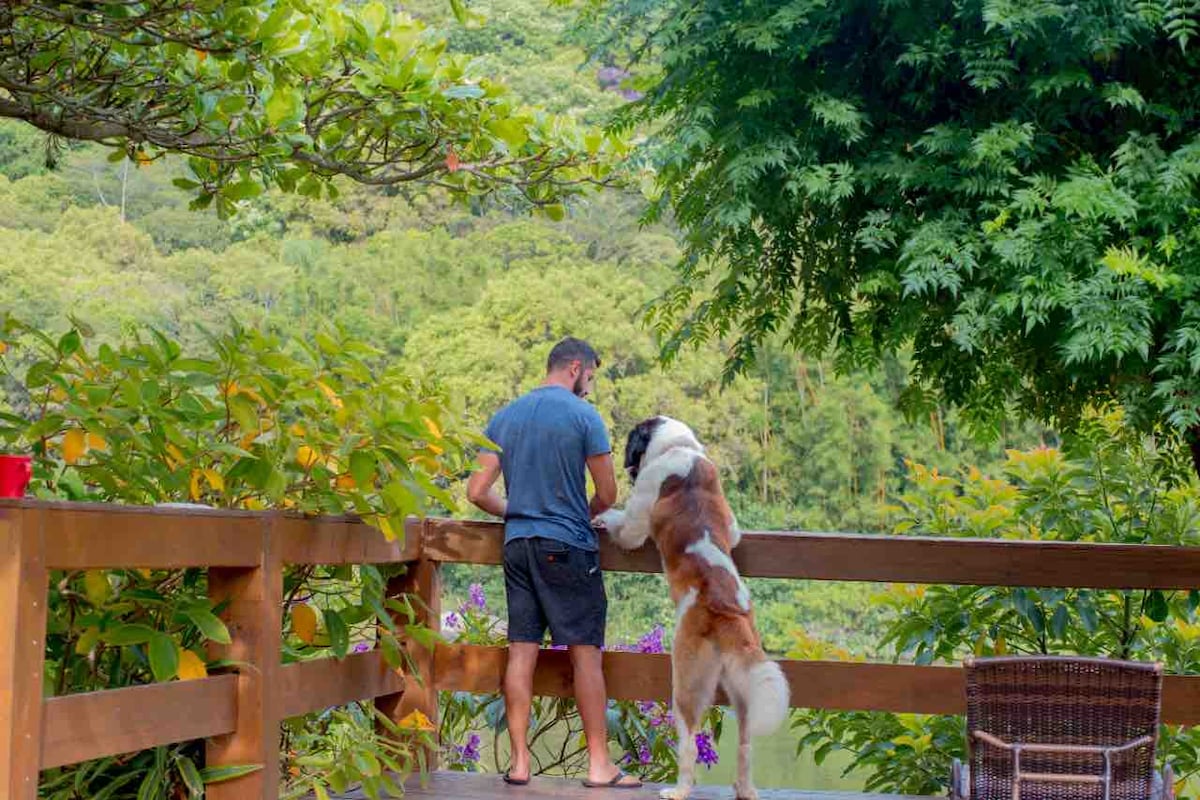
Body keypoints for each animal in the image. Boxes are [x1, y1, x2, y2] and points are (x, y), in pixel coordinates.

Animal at [597, 417, 787, 796]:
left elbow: (626, 528)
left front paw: (602, 515)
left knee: (687, 744)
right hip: (743, 692)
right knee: (745, 746)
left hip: (686, 680)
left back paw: (678, 790)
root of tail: (727, 611)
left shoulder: (638, 513)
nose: (626, 466)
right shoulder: (731, 523)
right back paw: (744, 789)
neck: (679, 450)